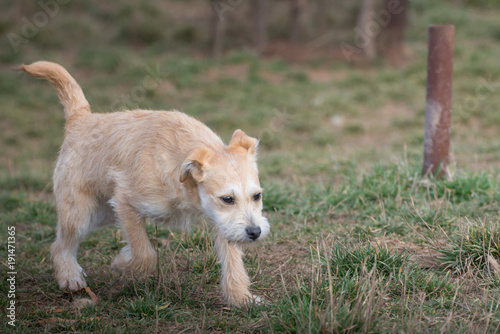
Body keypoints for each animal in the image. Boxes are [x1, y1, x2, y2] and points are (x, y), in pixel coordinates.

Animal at [18, 60, 270, 306]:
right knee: (60, 245)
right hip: (82, 213)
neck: (179, 170)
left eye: (257, 196)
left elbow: (232, 262)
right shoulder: (126, 203)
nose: (255, 232)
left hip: (103, 213)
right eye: (227, 199)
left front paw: (241, 298)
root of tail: (80, 119)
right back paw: (69, 276)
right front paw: (122, 262)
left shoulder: (223, 223)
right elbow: (145, 254)